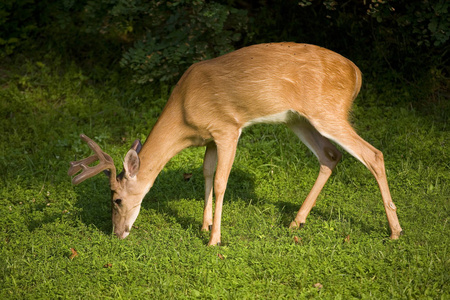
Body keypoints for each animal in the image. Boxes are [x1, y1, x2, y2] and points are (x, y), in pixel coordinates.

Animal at [69, 42, 404, 245]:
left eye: (116, 199)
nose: (116, 233)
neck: (184, 112)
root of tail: (357, 73)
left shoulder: (228, 129)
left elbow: (220, 182)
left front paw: (214, 239)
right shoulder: (209, 137)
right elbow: (205, 172)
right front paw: (204, 225)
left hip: (328, 112)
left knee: (373, 154)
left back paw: (395, 232)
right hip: (298, 119)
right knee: (330, 155)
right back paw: (296, 222)